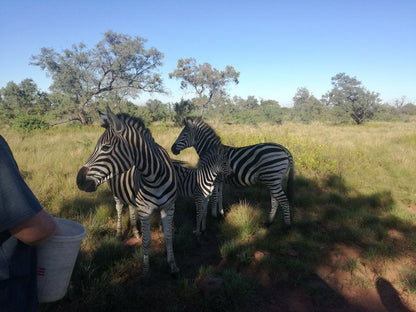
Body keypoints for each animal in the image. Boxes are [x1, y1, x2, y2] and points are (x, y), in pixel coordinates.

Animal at [76, 106, 179, 276]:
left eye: (106, 147)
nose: (79, 181)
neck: (155, 176)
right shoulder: (144, 209)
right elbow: (147, 241)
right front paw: (145, 272)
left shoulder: (169, 207)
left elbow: (169, 237)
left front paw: (173, 265)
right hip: (116, 193)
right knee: (119, 208)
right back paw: (119, 234)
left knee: (130, 206)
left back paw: (135, 231)